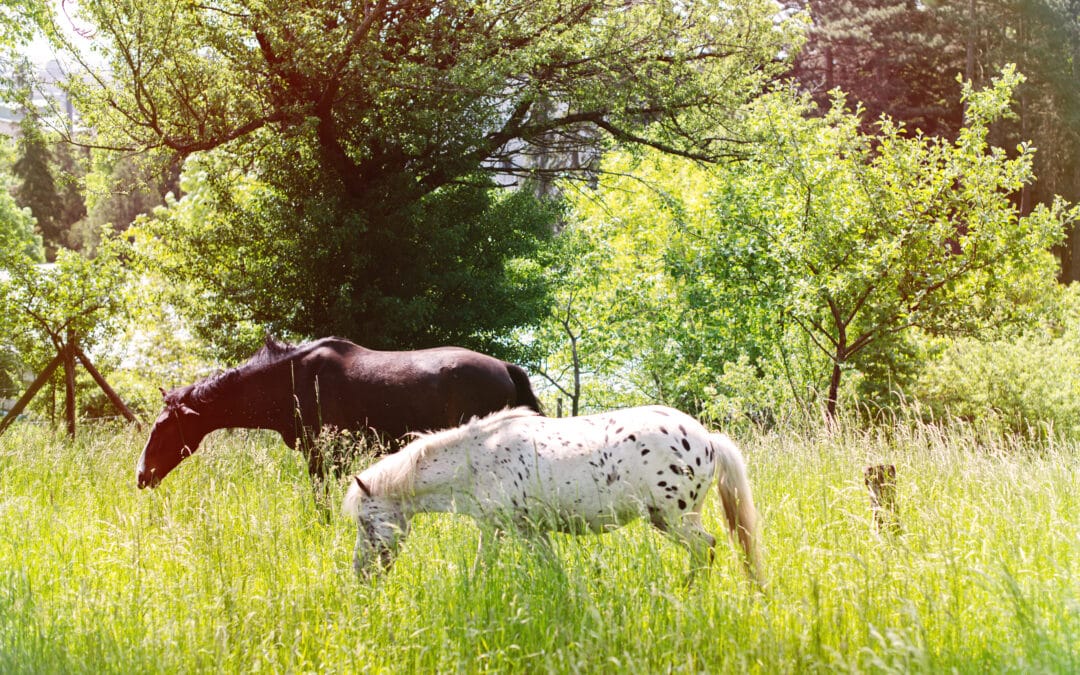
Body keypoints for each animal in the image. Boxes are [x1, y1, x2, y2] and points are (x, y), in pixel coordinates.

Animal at [343, 401, 760, 583]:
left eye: (366, 522)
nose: (361, 574)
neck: (477, 460)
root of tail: (707, 439)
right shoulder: (523, 531)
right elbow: (550, 567)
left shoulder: (506, 528)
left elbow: (483, 568)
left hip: (674, 518)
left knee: (705, 547)